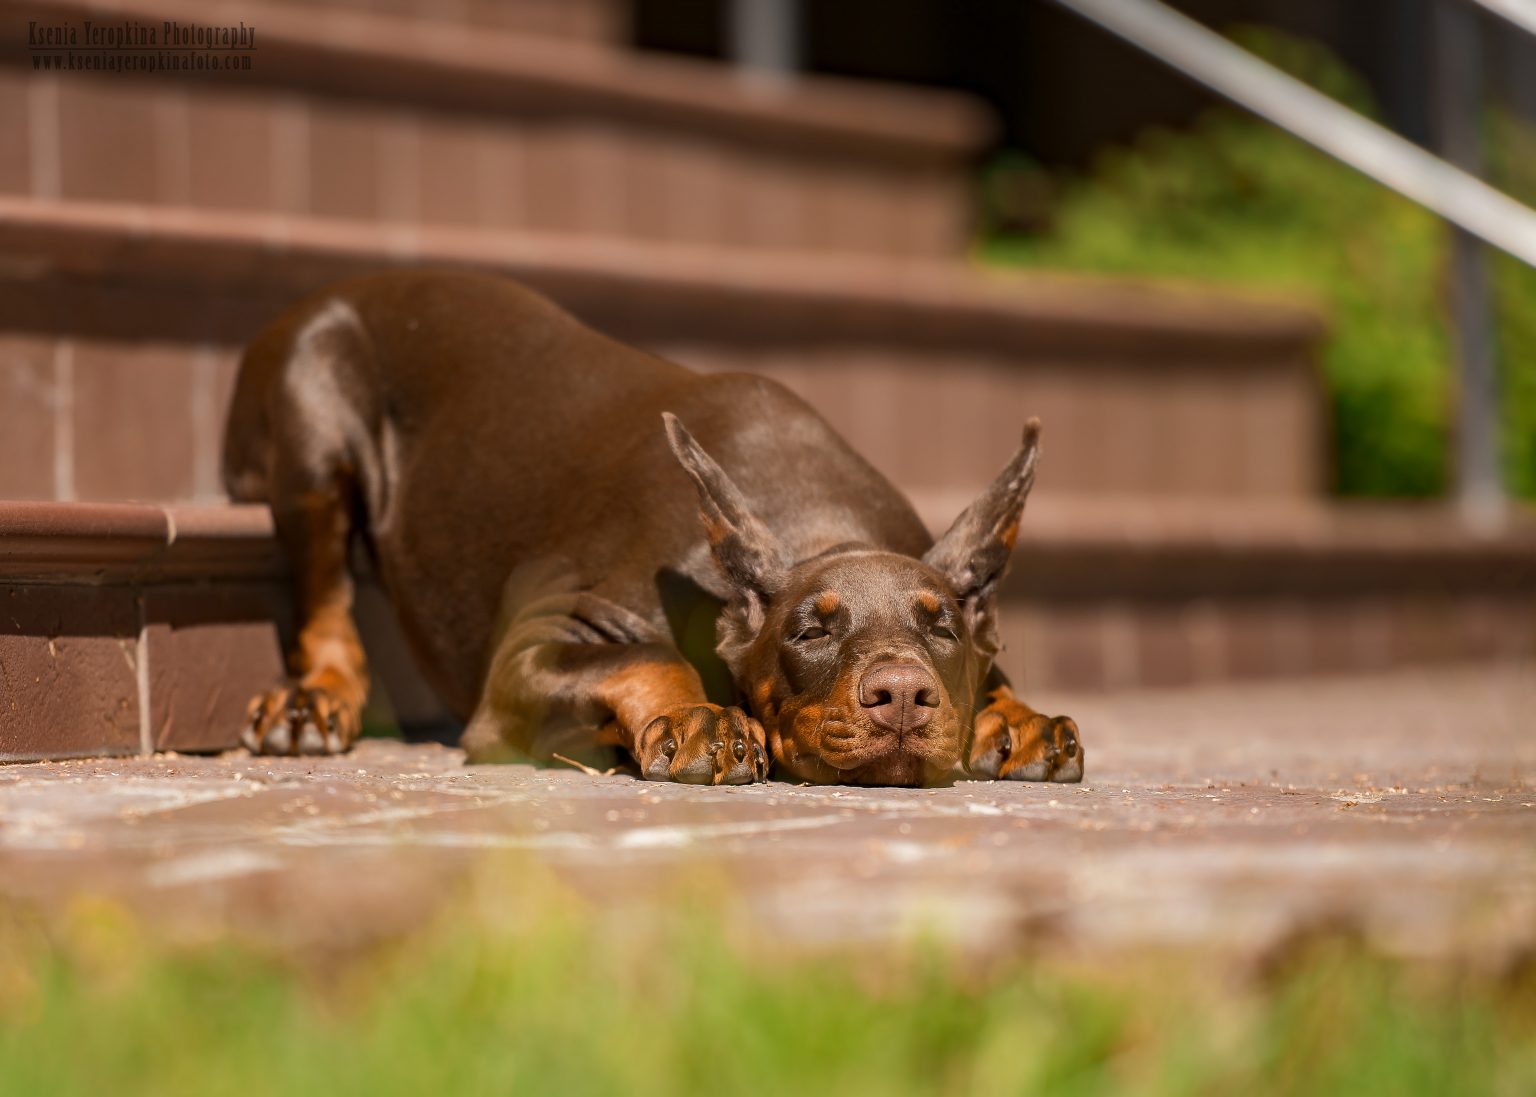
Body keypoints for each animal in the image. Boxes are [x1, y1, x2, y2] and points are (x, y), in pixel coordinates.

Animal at [224, 268, 1081, 780]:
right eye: (809, 630)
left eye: (943, 629)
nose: (902, 696)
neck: (820, 523)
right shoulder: (532, 647)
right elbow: (645, 654)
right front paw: (701, 718)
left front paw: (1022, 720)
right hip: (311, 418)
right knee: (325, 603)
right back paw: (310, 703)